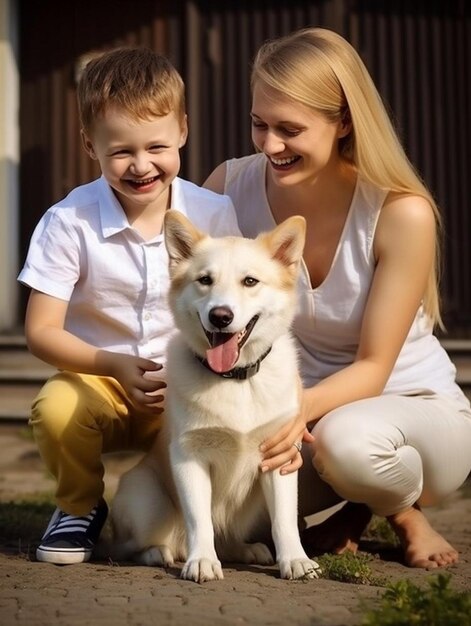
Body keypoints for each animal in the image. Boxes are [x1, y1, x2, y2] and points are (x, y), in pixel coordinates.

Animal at [109, 210, 320, 580]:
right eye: (205, 280)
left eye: (250, 281)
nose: (221, 316)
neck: (235, 380)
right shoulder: (189, 457)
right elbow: (199, 520)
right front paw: (202, 561)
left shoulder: (279, 458)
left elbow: (284, 521)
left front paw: (295, 560)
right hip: (146, 499)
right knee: (129, 545)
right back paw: (159, 553)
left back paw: (245, 549)